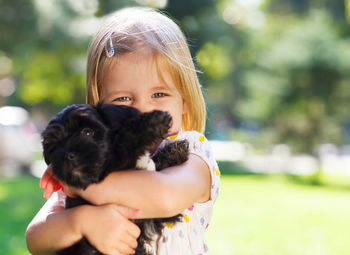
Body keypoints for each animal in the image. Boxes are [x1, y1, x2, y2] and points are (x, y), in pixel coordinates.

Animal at [41, 103, 189, 255]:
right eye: (55, 144)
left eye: (87, 132)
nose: (67, 155)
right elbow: (124, 141)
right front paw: (155, 122)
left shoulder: (151, 216)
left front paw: (174, 152)